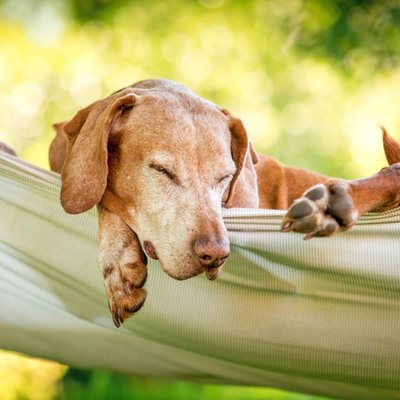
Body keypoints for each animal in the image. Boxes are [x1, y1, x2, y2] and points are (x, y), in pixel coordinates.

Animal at [43, 78, 400, 324]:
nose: (214, 254)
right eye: (161, 170)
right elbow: (102, 195)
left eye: (224, 177)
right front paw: (120, 260)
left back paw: (333, 203)